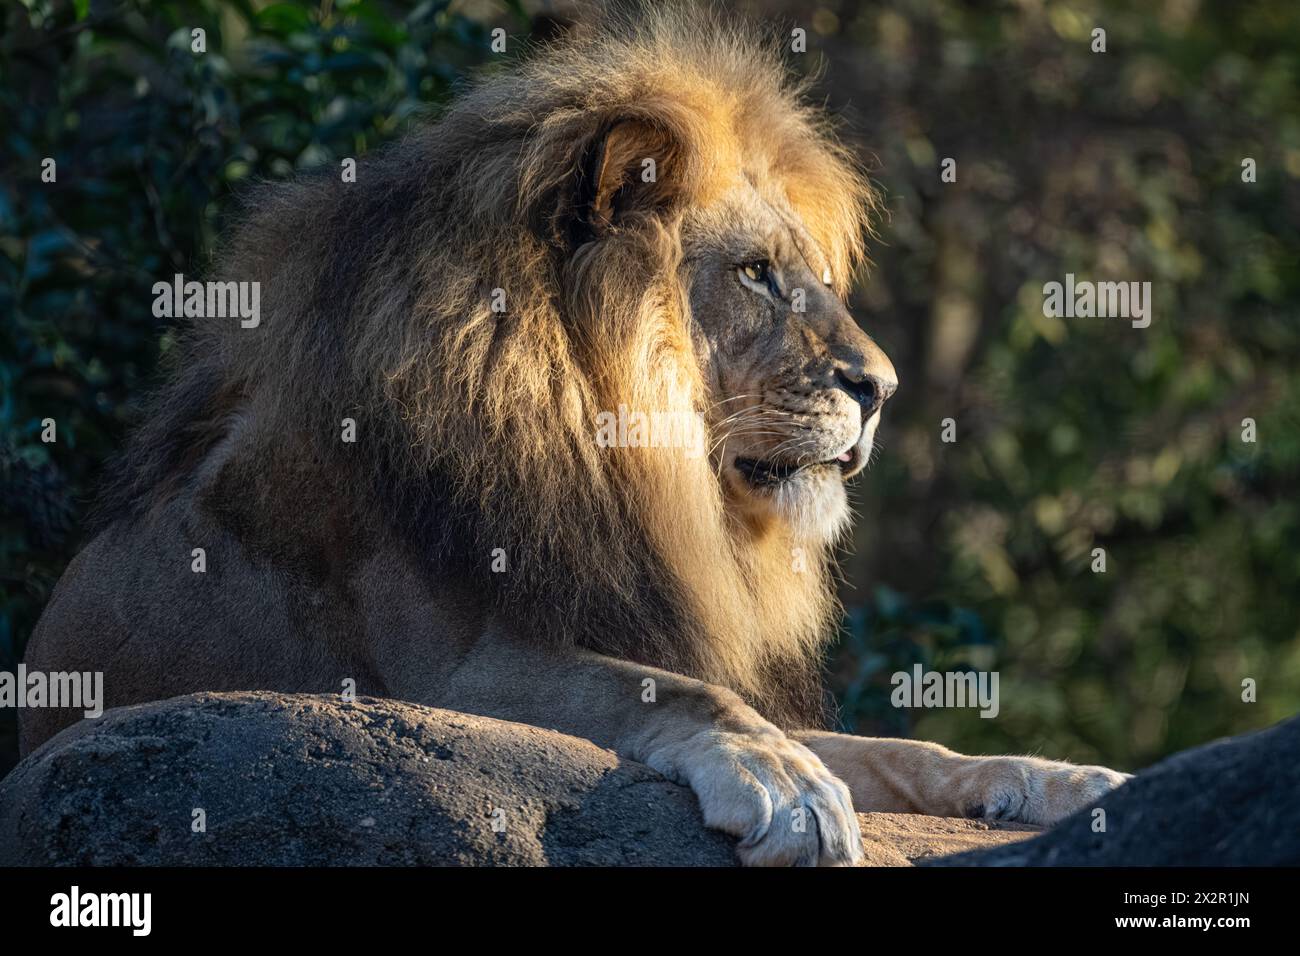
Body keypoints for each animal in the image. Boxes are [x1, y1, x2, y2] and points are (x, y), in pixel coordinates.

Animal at [22, 7, 1128, 868]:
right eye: (756, 273)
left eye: (807, 273)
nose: (883, 387)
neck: (611, 460)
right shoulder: (440, 681)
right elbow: (679, 692)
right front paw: (784, 782)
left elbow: (899, 750)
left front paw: (1059, 778)